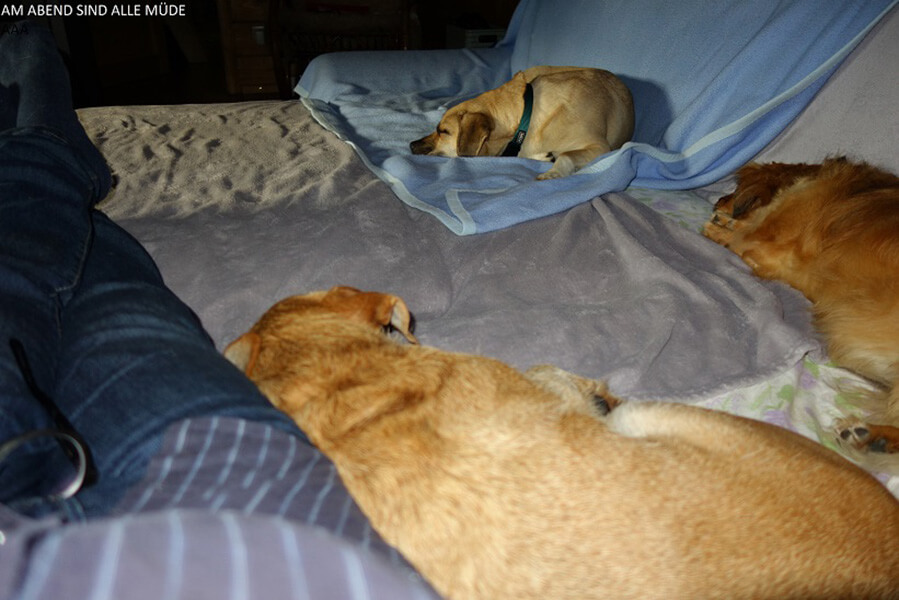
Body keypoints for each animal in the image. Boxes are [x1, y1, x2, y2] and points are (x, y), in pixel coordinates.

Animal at [703, 158, 899, 466]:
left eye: (733, 190)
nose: (717, 201)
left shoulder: (760, 240)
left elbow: (732, 235)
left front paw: (721, 223)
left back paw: (872, 438)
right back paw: (872, 440)